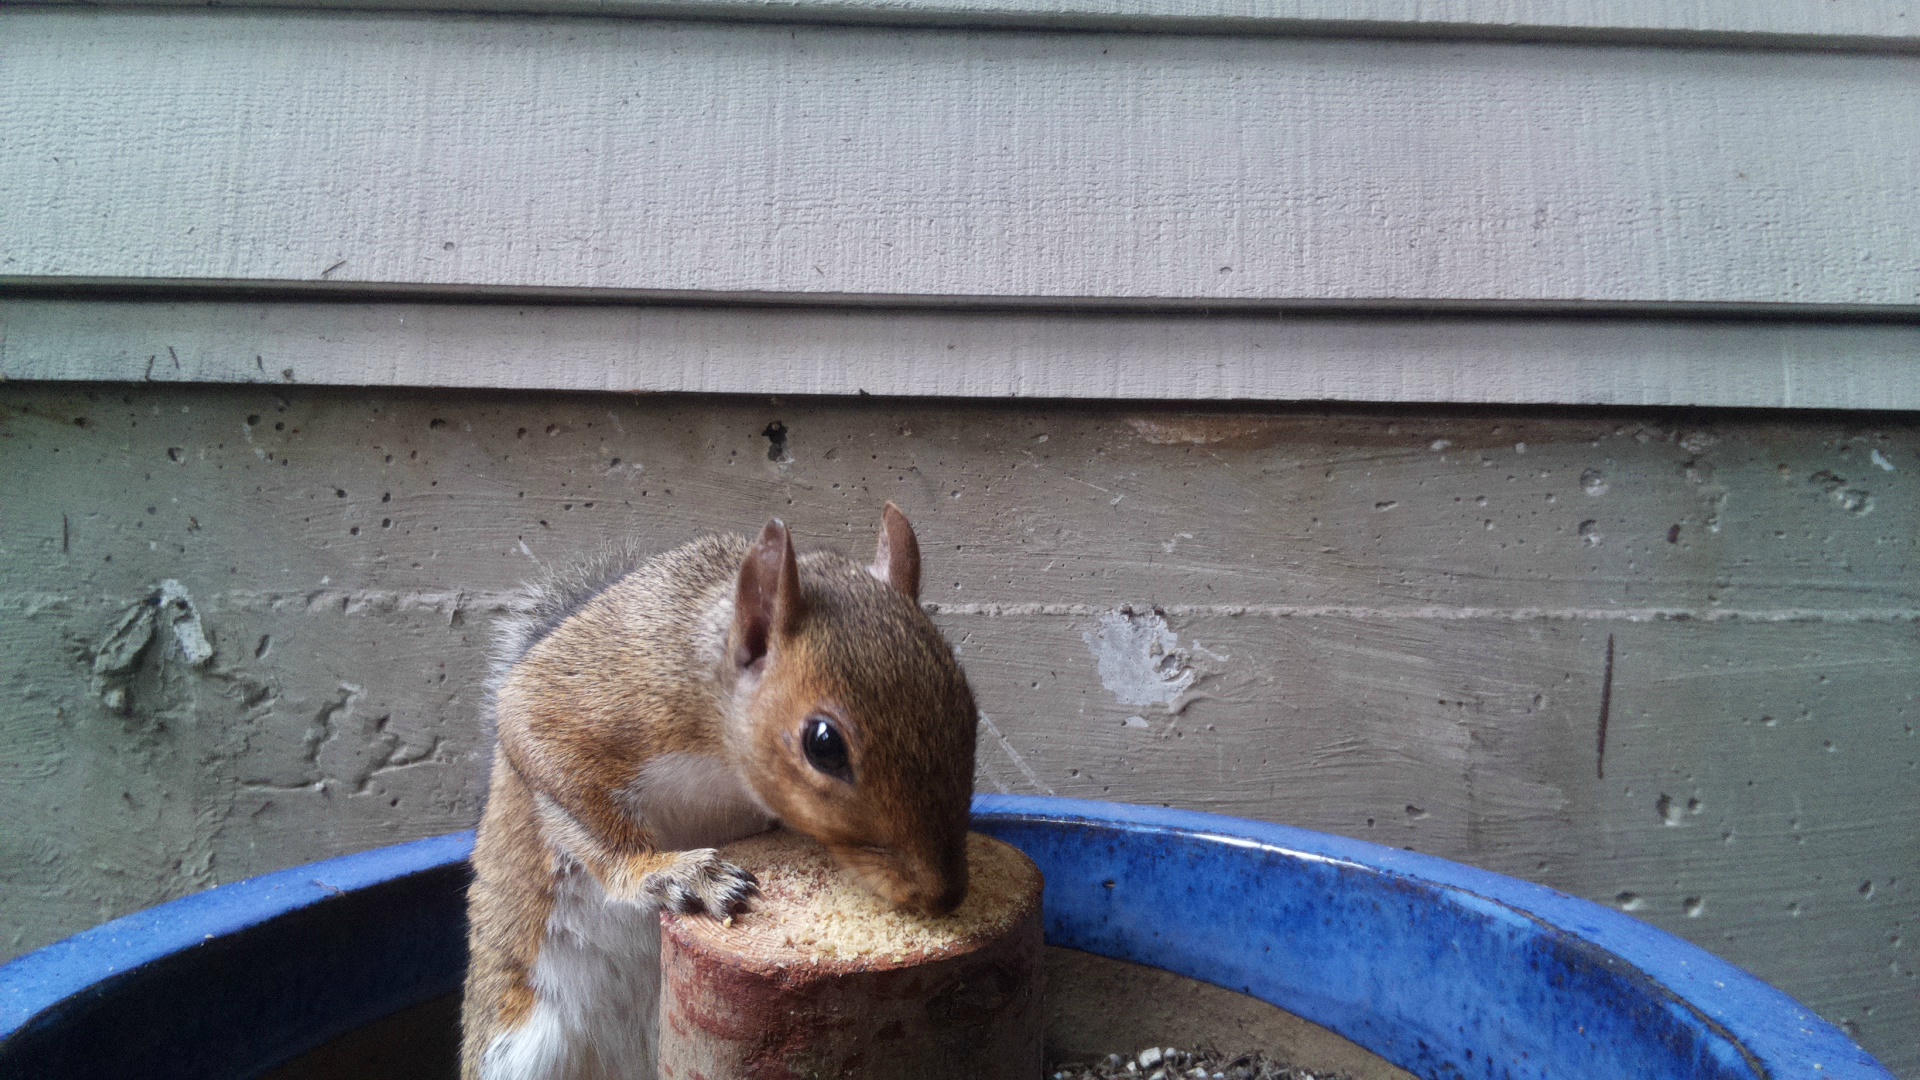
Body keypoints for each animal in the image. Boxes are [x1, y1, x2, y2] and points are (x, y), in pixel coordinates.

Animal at [461, 504, 980, 1080]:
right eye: (824, 744)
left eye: (969, 707)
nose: (944, 894)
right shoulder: (596, 695)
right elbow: (550, 761)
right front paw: (674, 873)